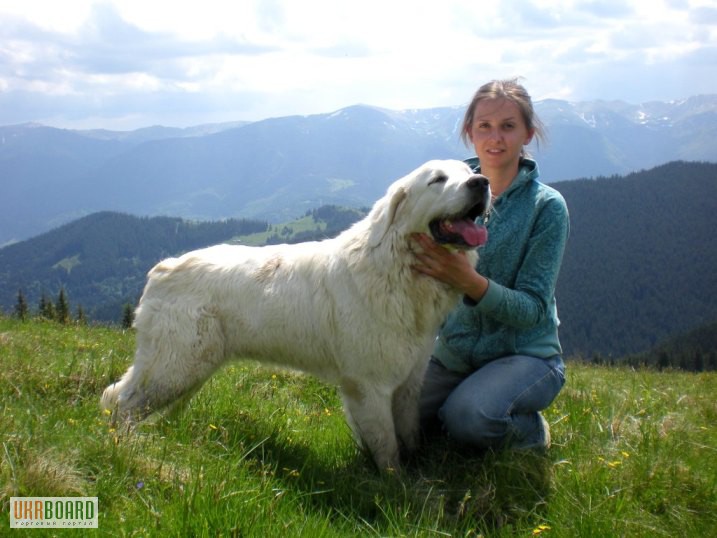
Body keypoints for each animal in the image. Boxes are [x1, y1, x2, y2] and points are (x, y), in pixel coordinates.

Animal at [100, 159, 490, 468]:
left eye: (469, 172)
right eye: (437, 179)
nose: (482, 182)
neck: (398, 266)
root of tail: (164, 267)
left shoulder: (409, 382)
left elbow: (408, 434)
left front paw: (415, 471)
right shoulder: (369, 385)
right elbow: (386, 446)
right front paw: (394, 489)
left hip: (191, 368)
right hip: (175, 366)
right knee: (120, 401)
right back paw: (126, 449)